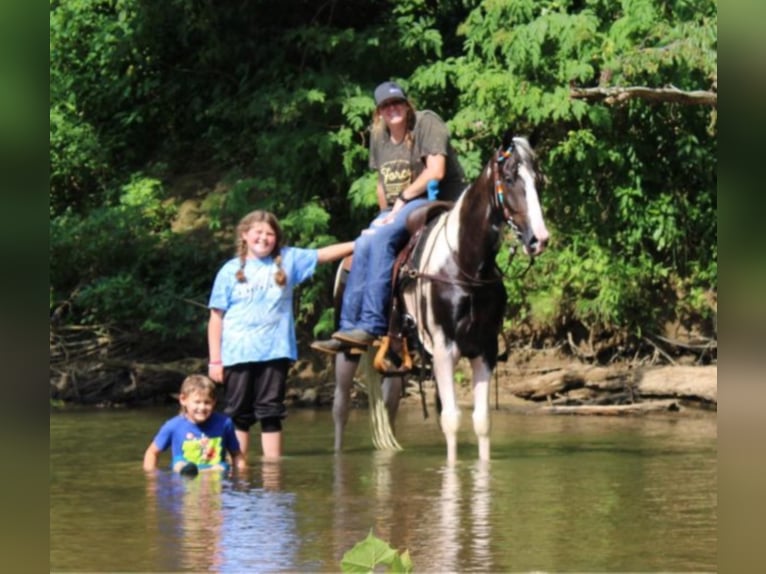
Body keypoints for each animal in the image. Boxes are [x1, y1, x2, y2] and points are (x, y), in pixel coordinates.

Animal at [332, 134, 548, 464]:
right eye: (510, 178)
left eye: (538, 180)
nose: (539, 239)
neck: (465, 264)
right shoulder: (444, 349)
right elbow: (451, 420)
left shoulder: (485, 349)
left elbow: (482, 422)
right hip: (347, 353)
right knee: (340, 408)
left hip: (396, 357)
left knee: (388, 409)